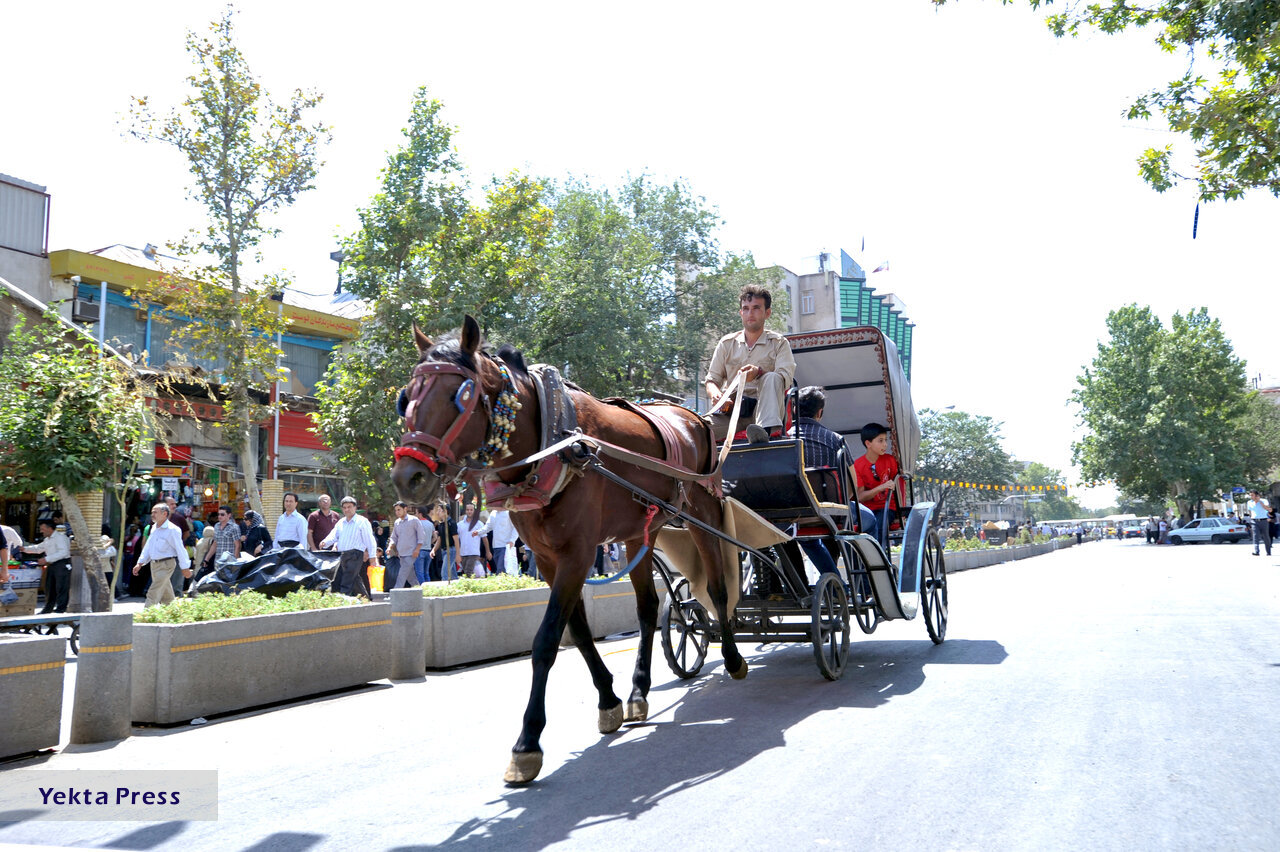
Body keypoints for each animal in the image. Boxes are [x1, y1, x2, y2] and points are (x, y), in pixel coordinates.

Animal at [394, 314, 747, 777]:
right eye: (407, 397)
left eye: (461, 395)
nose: (407, 477)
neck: (552, 442)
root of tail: (698, 418)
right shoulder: (547, 559)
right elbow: (577, 632)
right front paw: (609, 700)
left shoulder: (578, 554)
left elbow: (546, 640)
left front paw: (527, 742)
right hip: (639, 533)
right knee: (649, 608)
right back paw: (639, 692)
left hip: (702, 514)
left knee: (719, 589)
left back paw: (733, 657)